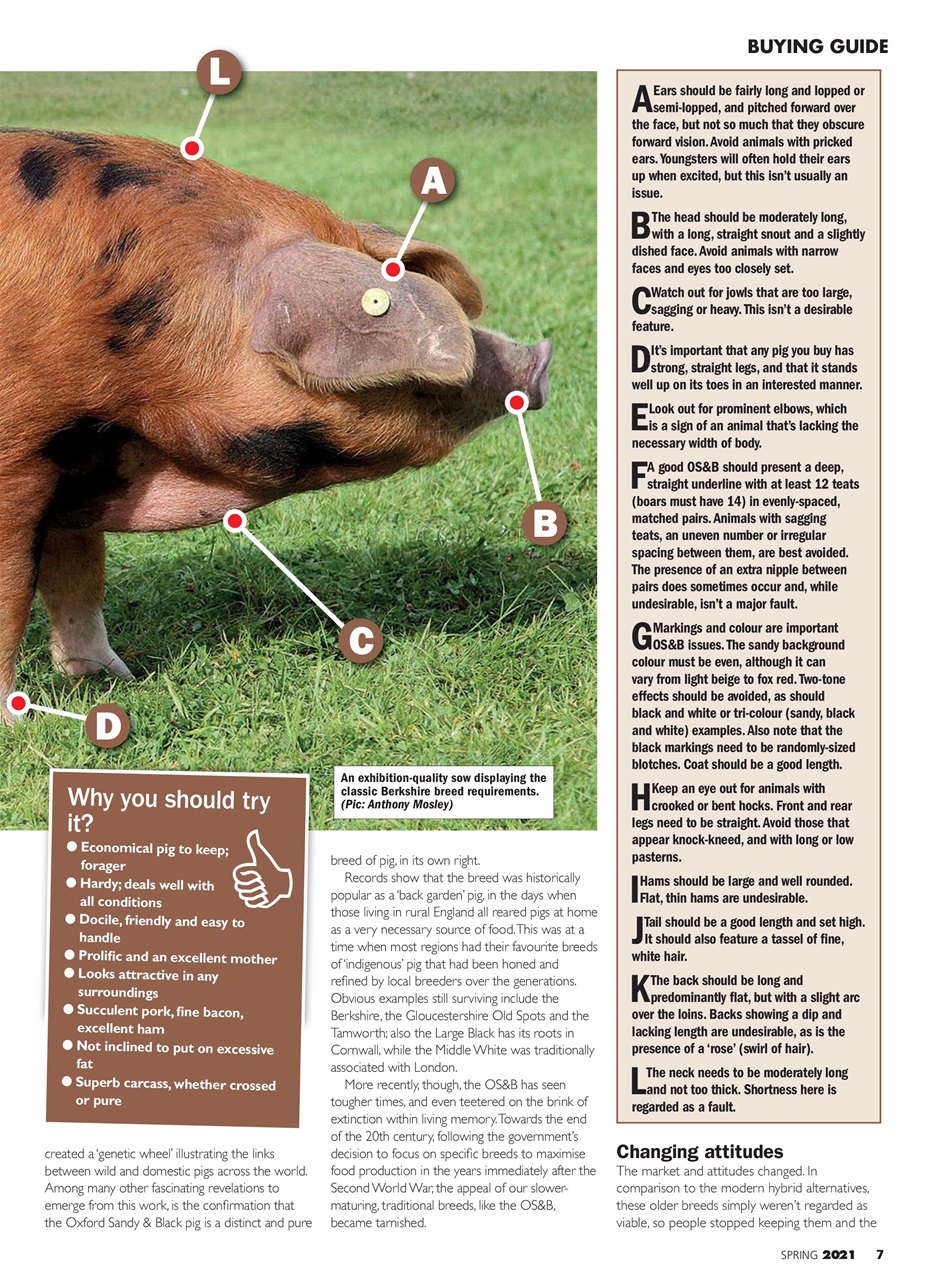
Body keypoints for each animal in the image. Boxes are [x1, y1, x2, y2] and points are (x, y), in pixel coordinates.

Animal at [0, 130, 552, 713]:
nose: (541, 358)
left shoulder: (78, 460)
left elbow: (79, 578)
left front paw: (114, 680)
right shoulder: (23, 455)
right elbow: (15, 591)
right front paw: (21, 718)